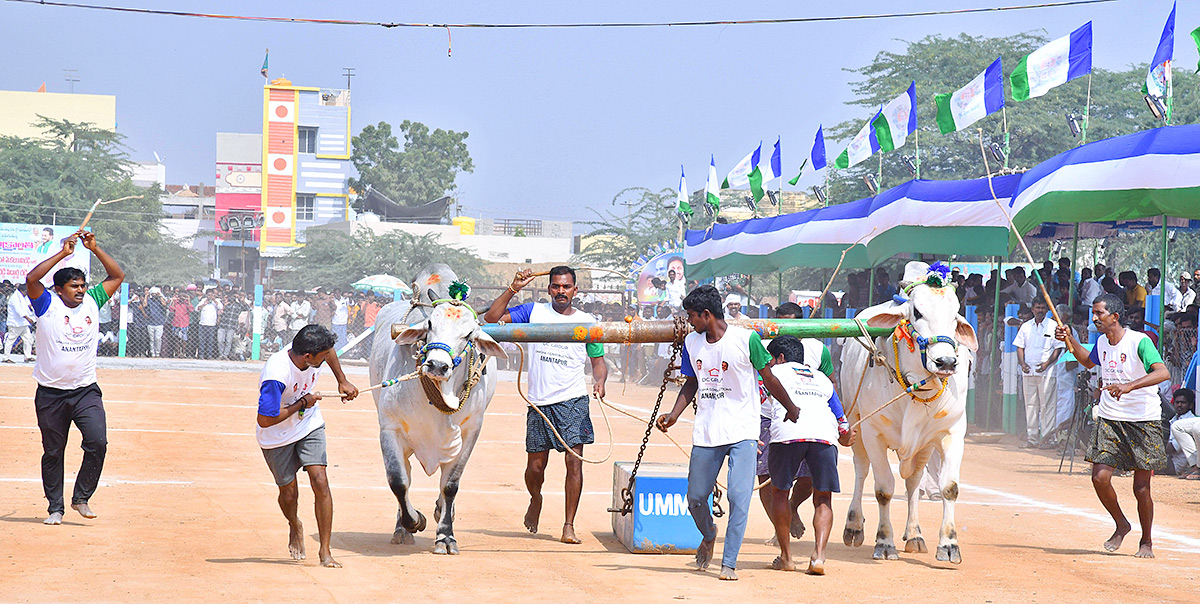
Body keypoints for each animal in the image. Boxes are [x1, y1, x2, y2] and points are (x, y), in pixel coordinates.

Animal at [367, 266, 504, 554]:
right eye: (430, 325)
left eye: (469, 334)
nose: (437, 366)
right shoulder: (390, 428)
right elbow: (398, 481)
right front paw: (414, 520)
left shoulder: (471, 431)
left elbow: (450, 485)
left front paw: (446, 536)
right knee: (406, 476)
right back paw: (402, 528)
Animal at [840, 262, 979, 564]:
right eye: (917, 312)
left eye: (955, 315)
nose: (946, 361)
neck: (920, 387)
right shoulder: (873, 433)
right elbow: (883, 489)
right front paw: (884, 542)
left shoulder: (952, 433)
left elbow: (949, 487)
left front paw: (949, 544)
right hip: (855, 425)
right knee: (861, 469)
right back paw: (854, 526)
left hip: (923, 446)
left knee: (914, 481)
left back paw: (915, 534)